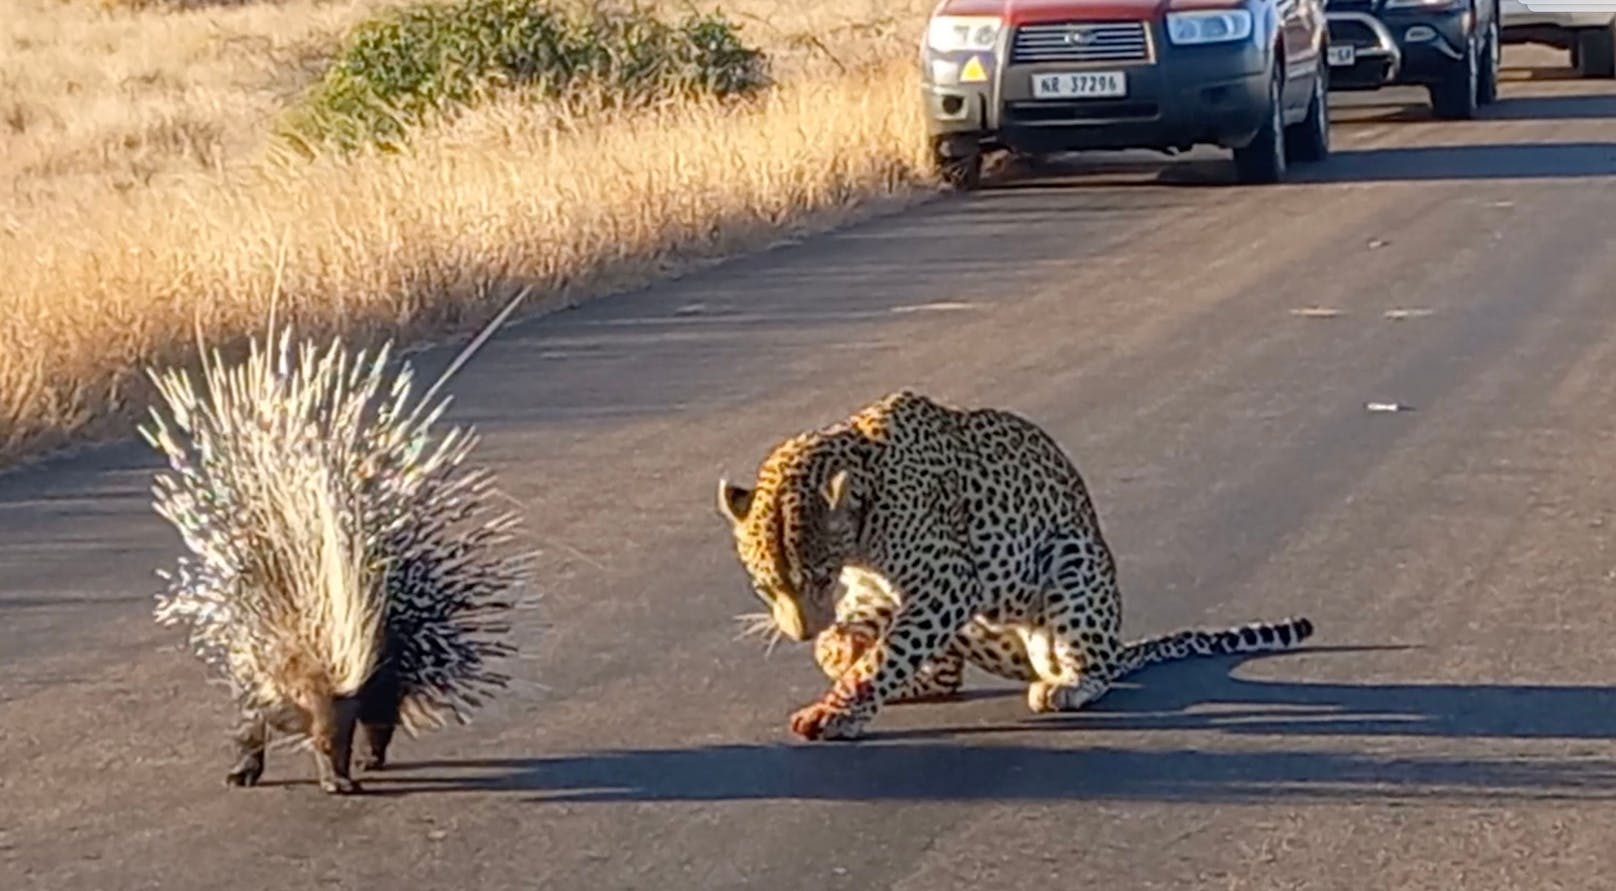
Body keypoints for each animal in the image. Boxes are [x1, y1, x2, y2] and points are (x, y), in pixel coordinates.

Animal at [720, 386, 1312, 743]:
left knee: (1093, 667)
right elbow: (872, 642)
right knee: (945, 676)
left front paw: (837, 710)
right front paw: (838, 650)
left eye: (818, 577)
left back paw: (1067, 684)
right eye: (767, 589)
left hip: (1068, 562)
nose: (799, 632)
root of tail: (1118, 643)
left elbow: (889, 656)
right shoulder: (879, 595)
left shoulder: (947, 586)